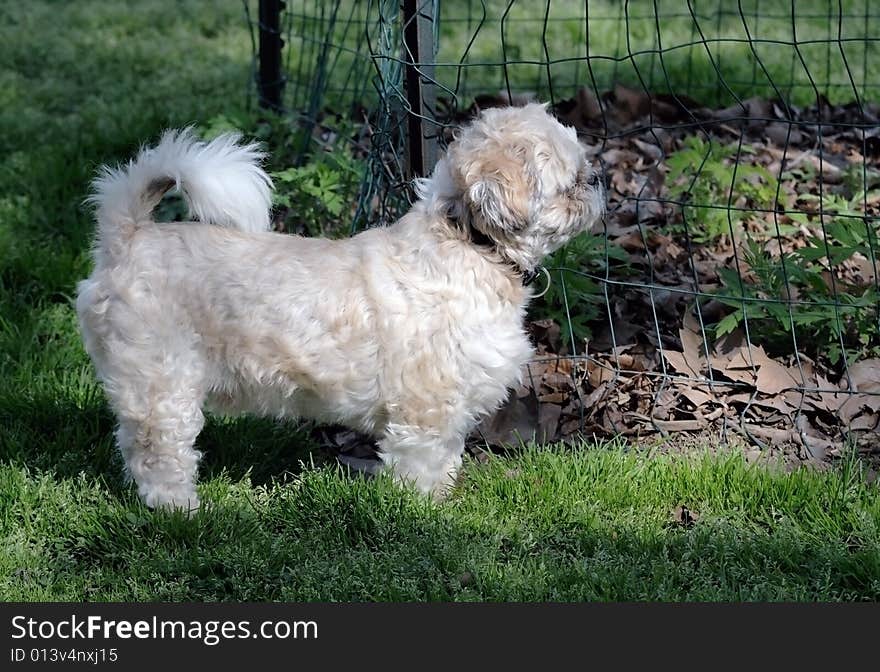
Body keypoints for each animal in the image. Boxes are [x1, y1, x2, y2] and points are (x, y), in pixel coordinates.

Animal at [75, 103, 604, 510]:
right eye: (572, 182)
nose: (597, 181)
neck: (469, 245)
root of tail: (128, 235)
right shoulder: (425, 412)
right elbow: (422, 469)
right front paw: (427, 518)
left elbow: (446, 460)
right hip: (160, 383)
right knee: (156, 451)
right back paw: (176, 508)